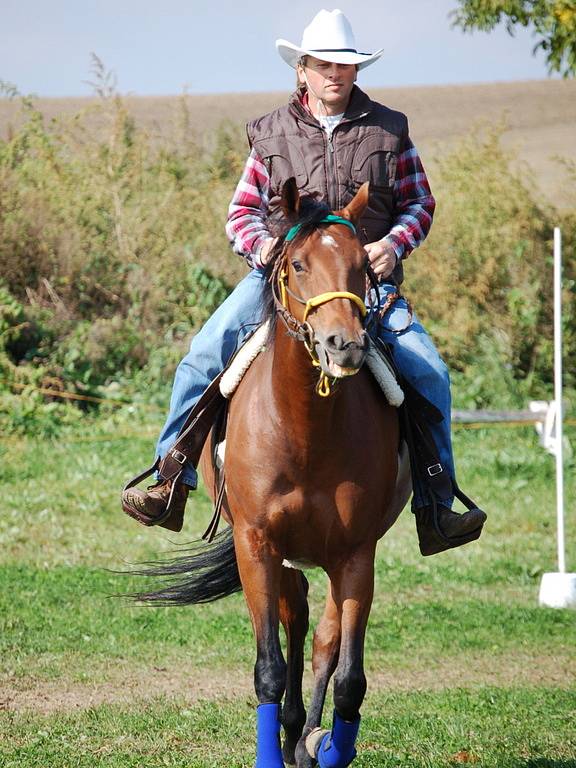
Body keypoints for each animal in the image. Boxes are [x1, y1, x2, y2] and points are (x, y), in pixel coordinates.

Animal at [140, 178, 410, 760]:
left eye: (364, 265)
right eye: (299, 265)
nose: (343, 345)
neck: (305, 431)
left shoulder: (358, 554)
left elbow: (349, 676)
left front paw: (328, 747)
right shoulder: (257, 544)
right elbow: (268, 666)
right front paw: (279, 744)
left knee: (323, 638)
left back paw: (307, 738)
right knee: (295, 620)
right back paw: (291, 731)